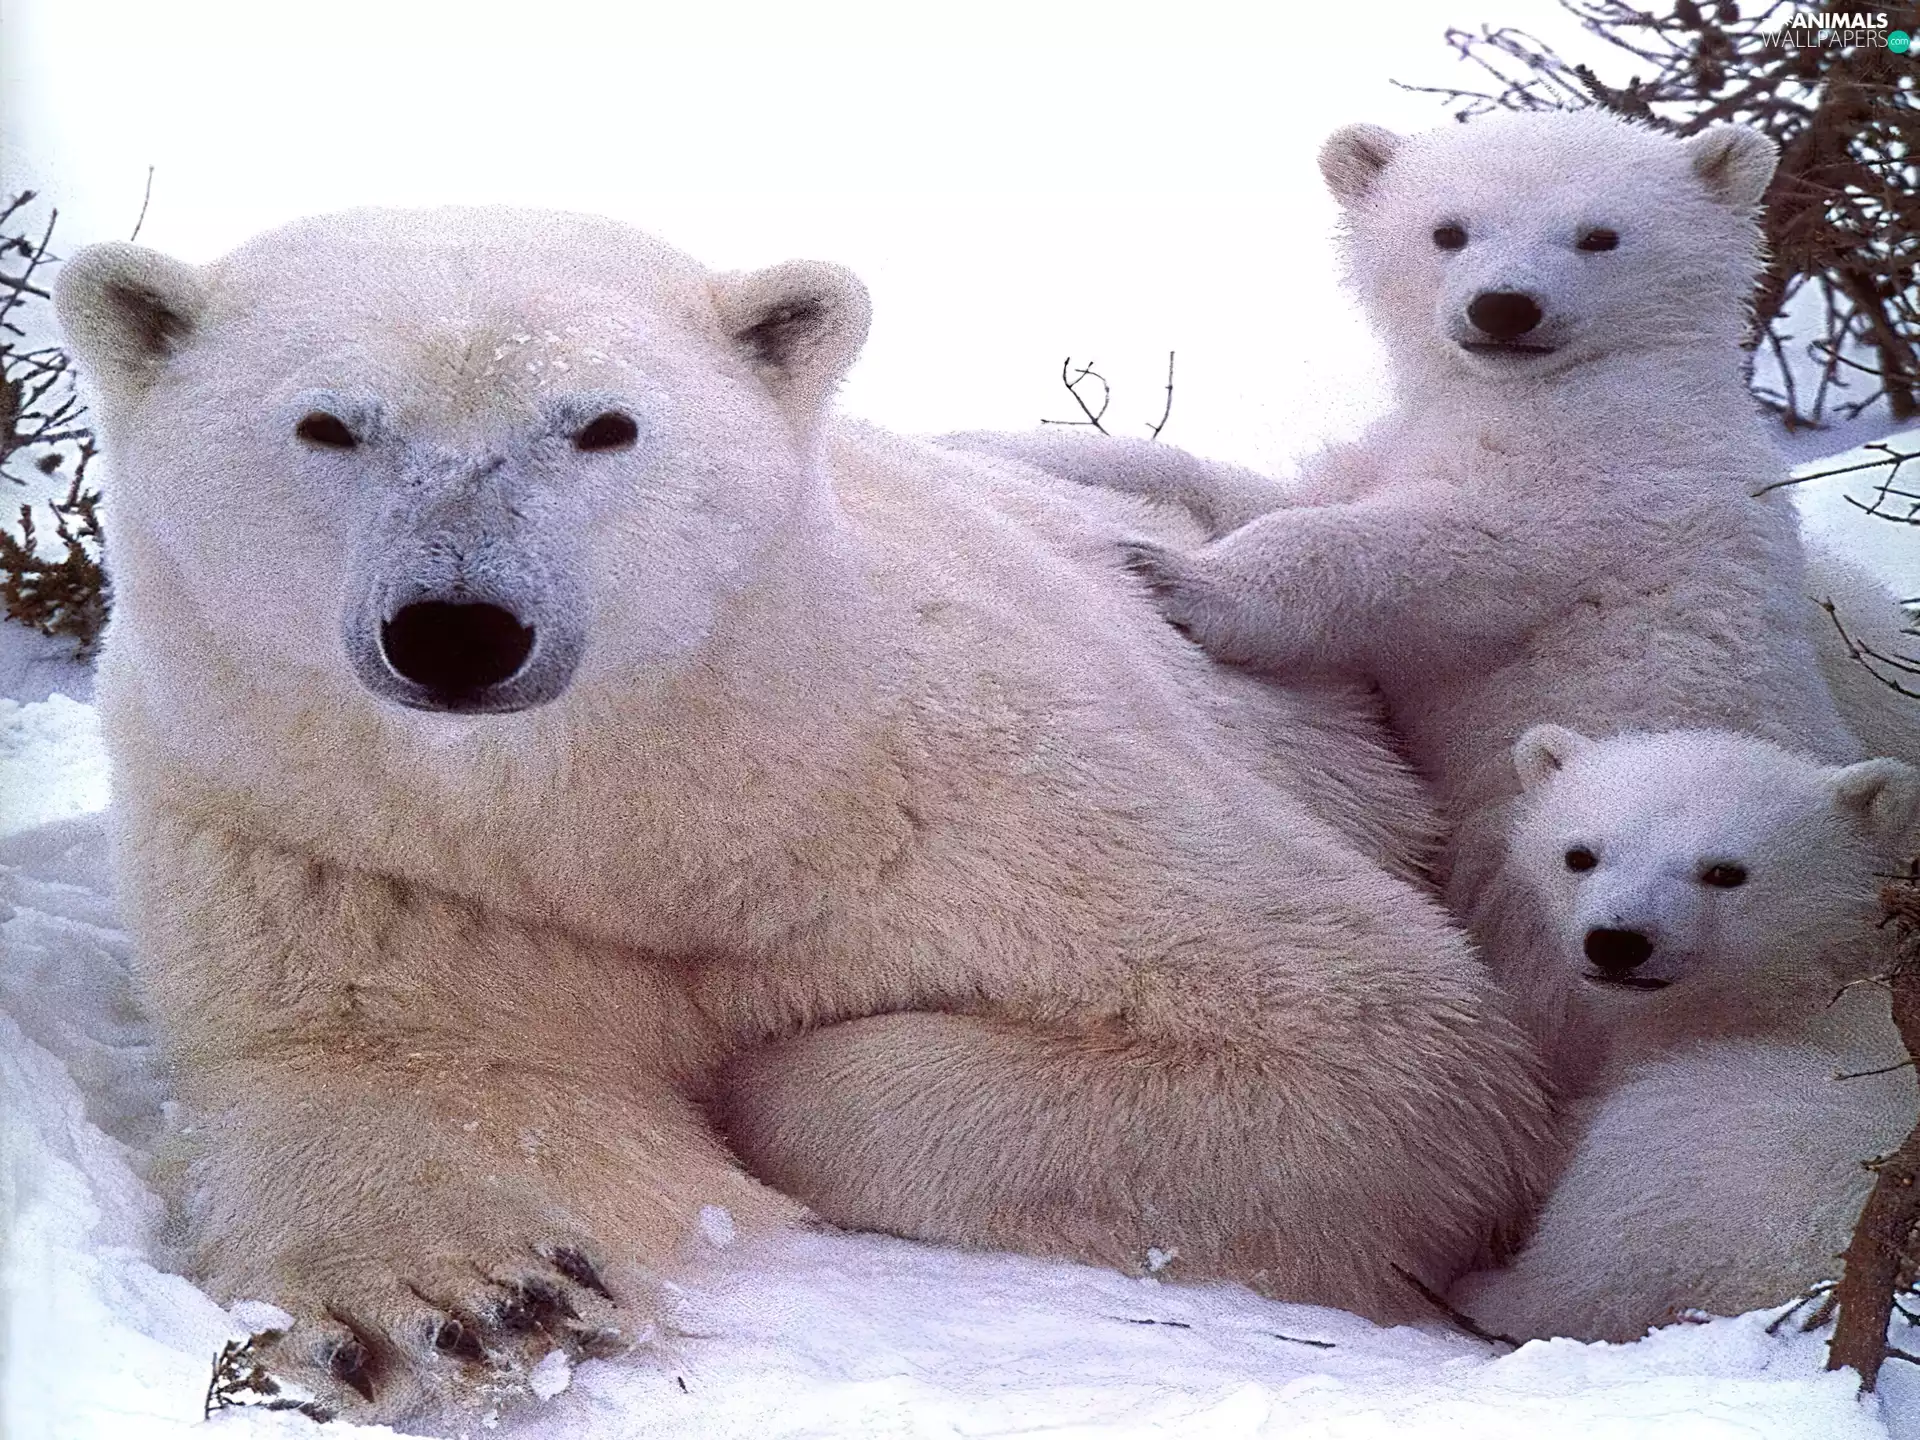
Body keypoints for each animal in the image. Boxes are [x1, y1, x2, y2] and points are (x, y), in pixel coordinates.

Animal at [55, 208, 1551, 1427]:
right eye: (328, 425)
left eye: (602, 424)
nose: (458, 629)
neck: (668, 806)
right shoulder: (328, 843)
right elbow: (388, 1065)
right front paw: (469, 1302)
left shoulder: (960, 783)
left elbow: (1378, 1040)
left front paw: (755, 1073)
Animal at [967, 112, 1864, 1084]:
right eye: (1449, 231)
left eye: (1600, 235)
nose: (1503, 307)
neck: (1543, 391)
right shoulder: (1414, 442)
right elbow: (1259, 491)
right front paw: (1007, 444)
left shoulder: (1614, 477)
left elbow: (1447, 549)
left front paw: (1181, 579)